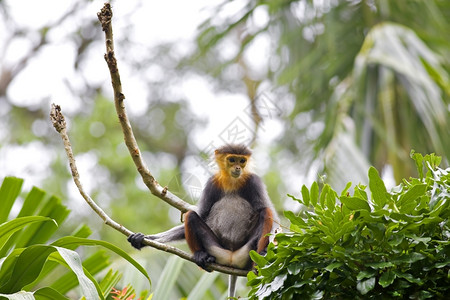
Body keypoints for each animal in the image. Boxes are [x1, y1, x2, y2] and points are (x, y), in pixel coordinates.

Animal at [127, 145, 278, 296]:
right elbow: (202, 214)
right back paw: (202, 257)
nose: (238, 168)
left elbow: (272, 217)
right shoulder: (212, 182)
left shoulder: (254, 181)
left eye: (242, 161)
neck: (232, 182)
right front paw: (144, 239)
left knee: (266, 212)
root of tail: (231, 259)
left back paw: (259, 260)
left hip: (247, 251)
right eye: (232, 159)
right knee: (191, 215)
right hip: (217, 249)